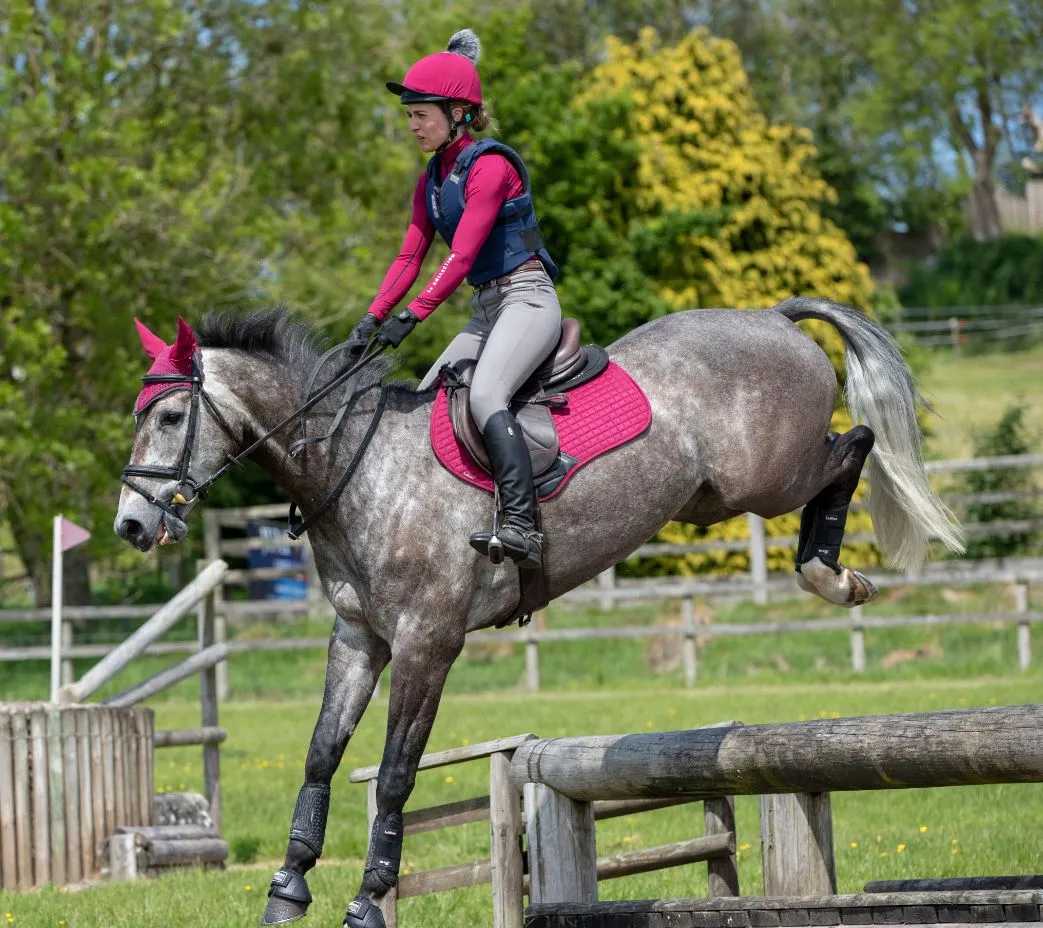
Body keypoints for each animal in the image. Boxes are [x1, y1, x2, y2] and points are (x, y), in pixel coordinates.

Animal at [114, 300, 959, 921]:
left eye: (168, 419)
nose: (131, 526)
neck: (352, 468)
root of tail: (772, 317)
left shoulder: (426, 642)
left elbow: (395, 775)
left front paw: (367, 900)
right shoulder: (357, 639)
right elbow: (322, 754)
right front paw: (287, 889)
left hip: (763, 478)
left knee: (854, 441)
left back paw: (828, 573)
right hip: (716, 496)